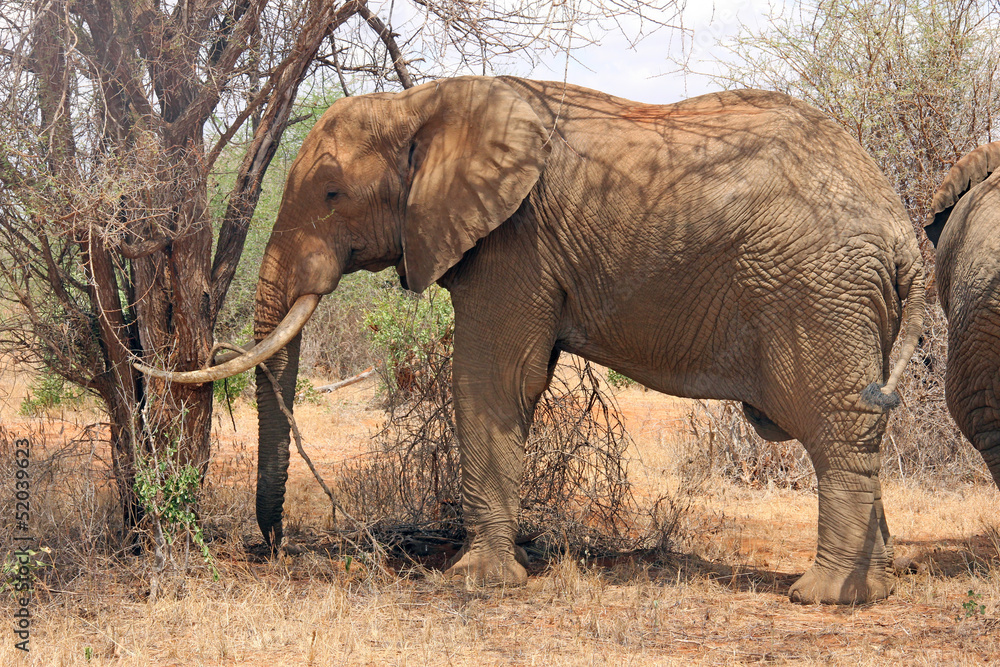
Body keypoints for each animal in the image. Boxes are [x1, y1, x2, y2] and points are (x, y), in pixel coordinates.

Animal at [138, 76, 925, 604]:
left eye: (331, 194)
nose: (266, 548)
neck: (422, 103)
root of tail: (899, 227)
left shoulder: (514, 243)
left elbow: (493, 380)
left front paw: (476, 583)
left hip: (818, 293)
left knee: (833, 426)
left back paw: (822, 594)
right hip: (846, 299)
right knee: (850, 429)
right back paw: (874, 590)